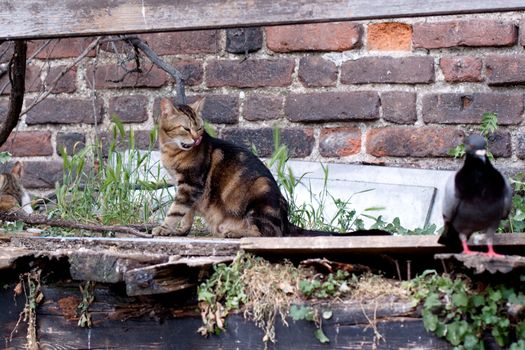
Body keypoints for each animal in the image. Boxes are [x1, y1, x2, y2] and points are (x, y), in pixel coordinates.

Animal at [149, 98, 386, 238]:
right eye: (185, 128)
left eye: (199, 128)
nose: (197, 138)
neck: (170, 151)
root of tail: (286, 220)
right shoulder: (185, 187)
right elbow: (186, 214)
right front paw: (180, 231)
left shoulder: (190, 185)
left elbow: (176, 210)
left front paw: (164, 228)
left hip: (260, 193)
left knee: (266, 232)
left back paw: (233, 232)